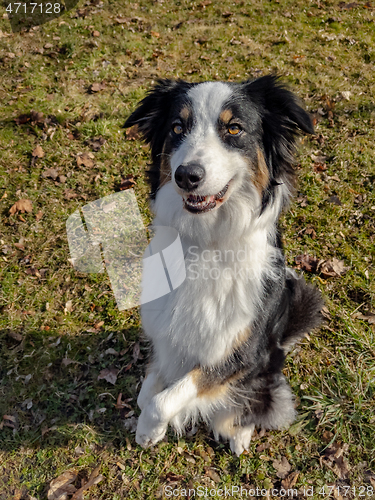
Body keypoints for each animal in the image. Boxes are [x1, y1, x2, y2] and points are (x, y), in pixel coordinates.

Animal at [124, 76, 324, 456]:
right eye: (177, 127)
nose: (186, 175)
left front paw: (150, 428)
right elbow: (148, 393)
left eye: (234, 129)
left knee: (249, 407)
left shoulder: (238, 354)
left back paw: (238, 434)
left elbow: (165, 399)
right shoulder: (165, 336)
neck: (206, 242)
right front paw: (146, 430)